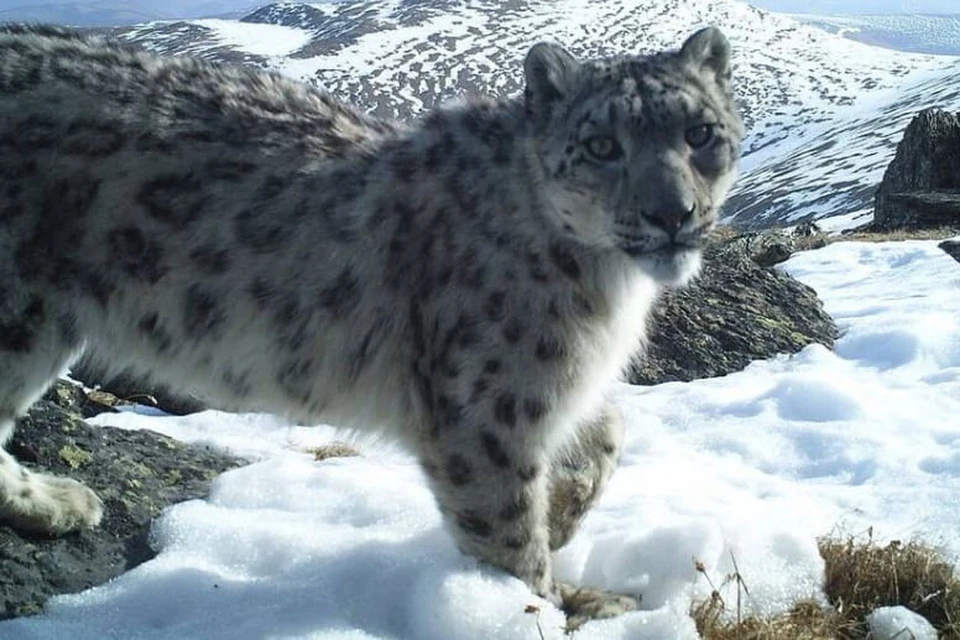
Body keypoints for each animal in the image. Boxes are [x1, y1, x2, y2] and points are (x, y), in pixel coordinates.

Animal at [0, 23, 744, 620]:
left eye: (700, 133)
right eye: (600, 146)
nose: (672, 213)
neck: (605, 289)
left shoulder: (555, 385)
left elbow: (608, 431)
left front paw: (561, 517)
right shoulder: (485, 410)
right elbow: (505, 530)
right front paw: (549, 604)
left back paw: (52, 502)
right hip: (20, 317)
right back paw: (56, 500)